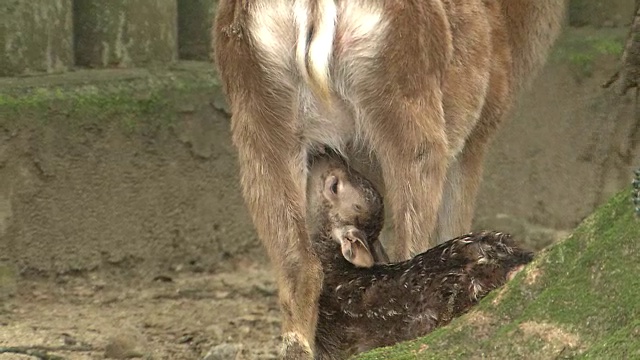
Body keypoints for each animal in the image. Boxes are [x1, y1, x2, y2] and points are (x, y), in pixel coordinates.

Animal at [211, 0, 564, 358]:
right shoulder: (480, 128)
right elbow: (452, 223)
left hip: (256, 115)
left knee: (300, 270)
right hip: (410, 110)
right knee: (409, 252)